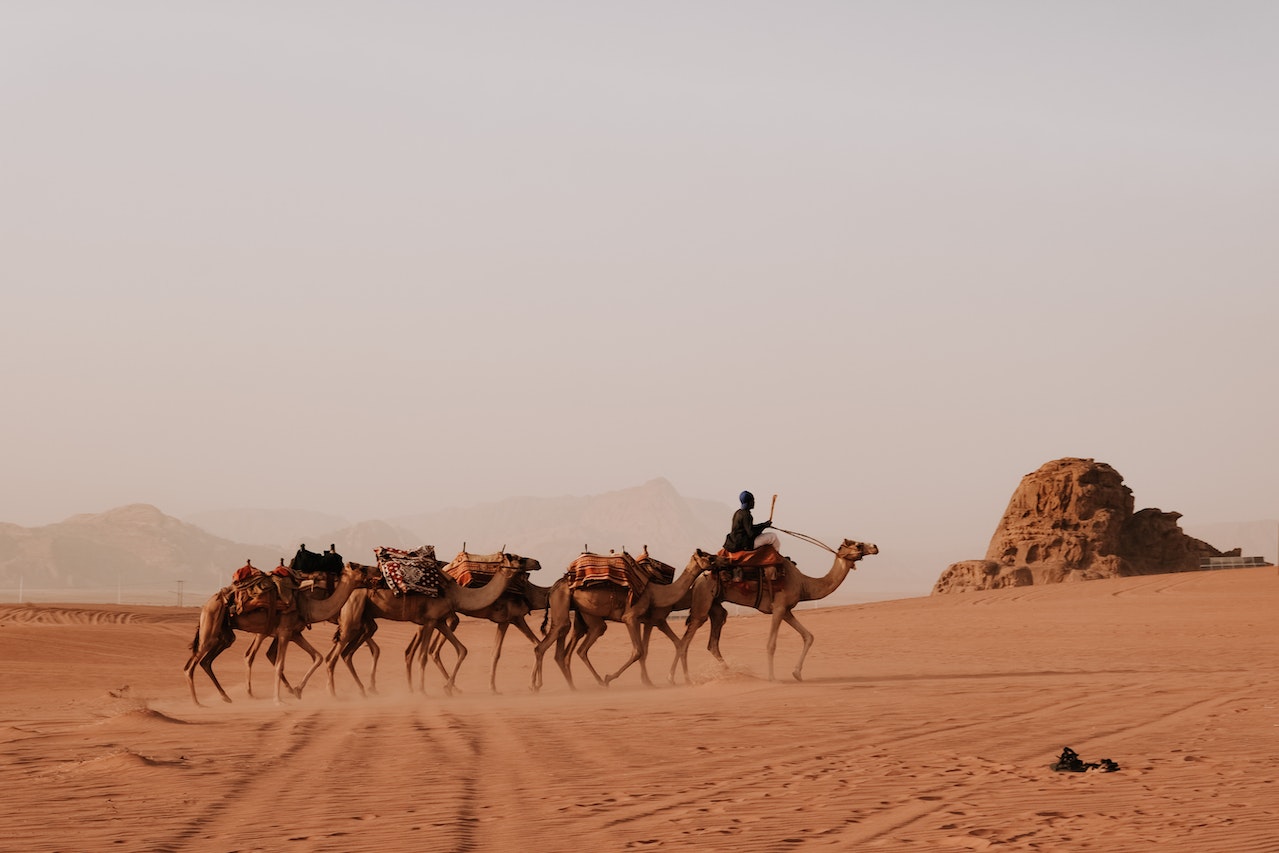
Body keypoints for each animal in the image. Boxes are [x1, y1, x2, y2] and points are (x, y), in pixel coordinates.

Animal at [184, 560, 378, 705]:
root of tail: (208, 603)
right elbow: (279, 665)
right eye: (362, 568)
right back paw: (197, 702)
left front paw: (297, 690)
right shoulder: (285, 632)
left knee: (207, 661)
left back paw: (226, 697)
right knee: (191, 665)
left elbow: (317, 656)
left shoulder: (295, 633)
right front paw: (278, 700)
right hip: (210, 627)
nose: (377, 572)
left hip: (224, 634)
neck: (308, 606)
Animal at [322, 562, 516, 695]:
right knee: (333, 656)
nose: (531, 563)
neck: (456, 594)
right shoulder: (431, 621)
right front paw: (423, 691)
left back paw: (363, 690)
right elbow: (423, 656)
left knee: (347, 653)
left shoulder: (439, 621)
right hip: (352, 618)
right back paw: (334, 694)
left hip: (364, 622)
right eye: (518, 560)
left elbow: (461, 649)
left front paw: (449, 688)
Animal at [526, 549, 711, 690]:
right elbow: (639, 651)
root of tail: (554, 587)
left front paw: (649, 682)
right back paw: (536, 685)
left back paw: (574, 685)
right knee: (548, 645)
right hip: (564, 604)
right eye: (706, 556)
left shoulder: (646, 620)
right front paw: (612, 677)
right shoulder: (633, 617)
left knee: (572, 648)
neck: (655, 592)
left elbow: (646, 650)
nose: (716, 561)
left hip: (585, 614)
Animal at [665, 537, 874, 685]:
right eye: (858, 544)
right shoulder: (779, 608)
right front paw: (773, 678)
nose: (875, 546)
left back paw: (732, 673)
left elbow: (808, 636)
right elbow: (771, 644)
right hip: (702, 603)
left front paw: (797, 673)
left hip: (716, 607)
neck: (804, 584)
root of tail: (700, 580)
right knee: (685, 641)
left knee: (713, 641)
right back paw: (675, 679)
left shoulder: (787, 610)